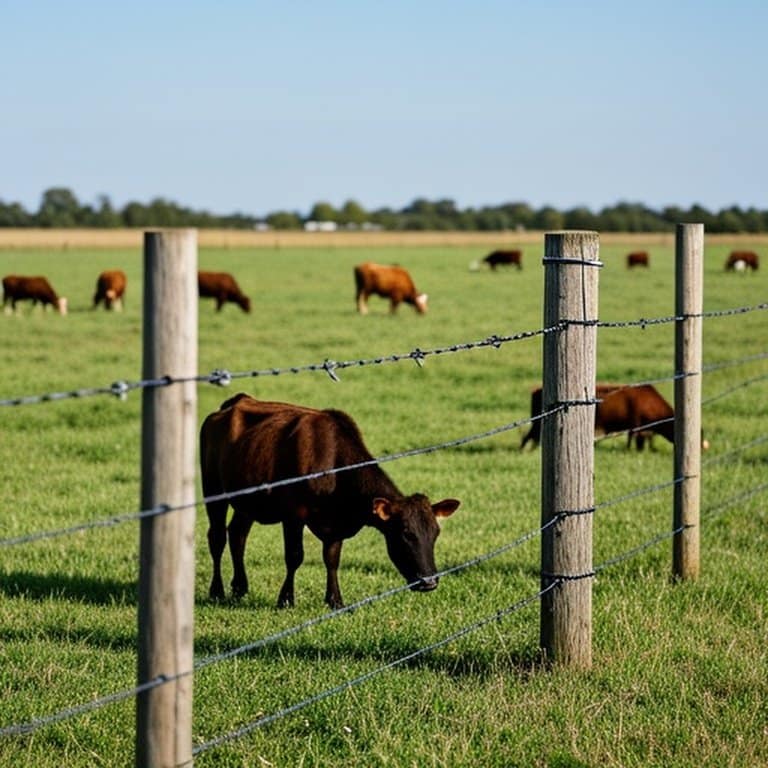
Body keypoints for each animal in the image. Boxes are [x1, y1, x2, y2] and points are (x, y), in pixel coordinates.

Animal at [200, 394, 460, 608]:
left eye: (435, 533)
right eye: (406, 534)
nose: (429, 582)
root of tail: (234, 402)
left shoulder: (336, 524)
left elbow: (332, 559)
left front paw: (335, 600)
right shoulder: (293, 515)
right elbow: (294, 556)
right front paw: (286, 599)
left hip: (247, 500)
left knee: (238, 534)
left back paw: (240, 587)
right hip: (212, 488)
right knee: (217, 537)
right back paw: (217, 591)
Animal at [520, 383, 700, 451]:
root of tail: (537, 390)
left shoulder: (640, 427)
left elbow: (640, 438)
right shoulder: (636, 424)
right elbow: (633, 437)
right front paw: (631, 450)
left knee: (532, 438)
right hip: (537, 424)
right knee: (528, 437)